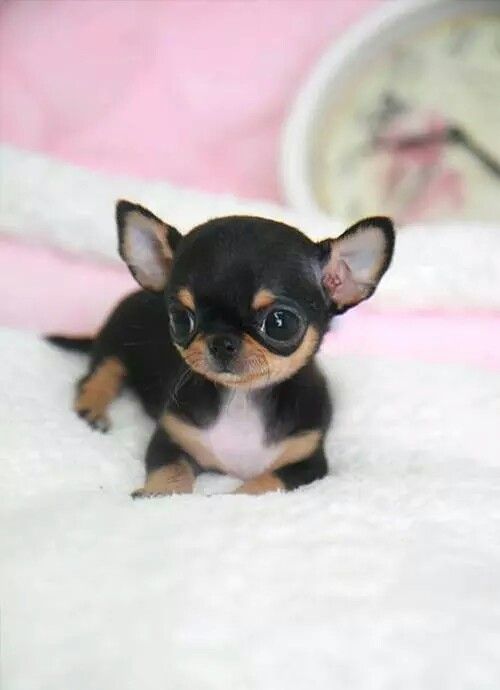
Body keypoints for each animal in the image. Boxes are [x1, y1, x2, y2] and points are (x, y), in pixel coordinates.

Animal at [50, 200, 394, 494]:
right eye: (180, 318)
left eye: (280, 322)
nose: (221, 342)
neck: (242, 400)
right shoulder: (171, 439)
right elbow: (171, 470)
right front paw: (158, 494)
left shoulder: (306, 464)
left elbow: (262, 484)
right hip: (114, 341)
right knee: (100, 372)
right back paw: (92, 407)